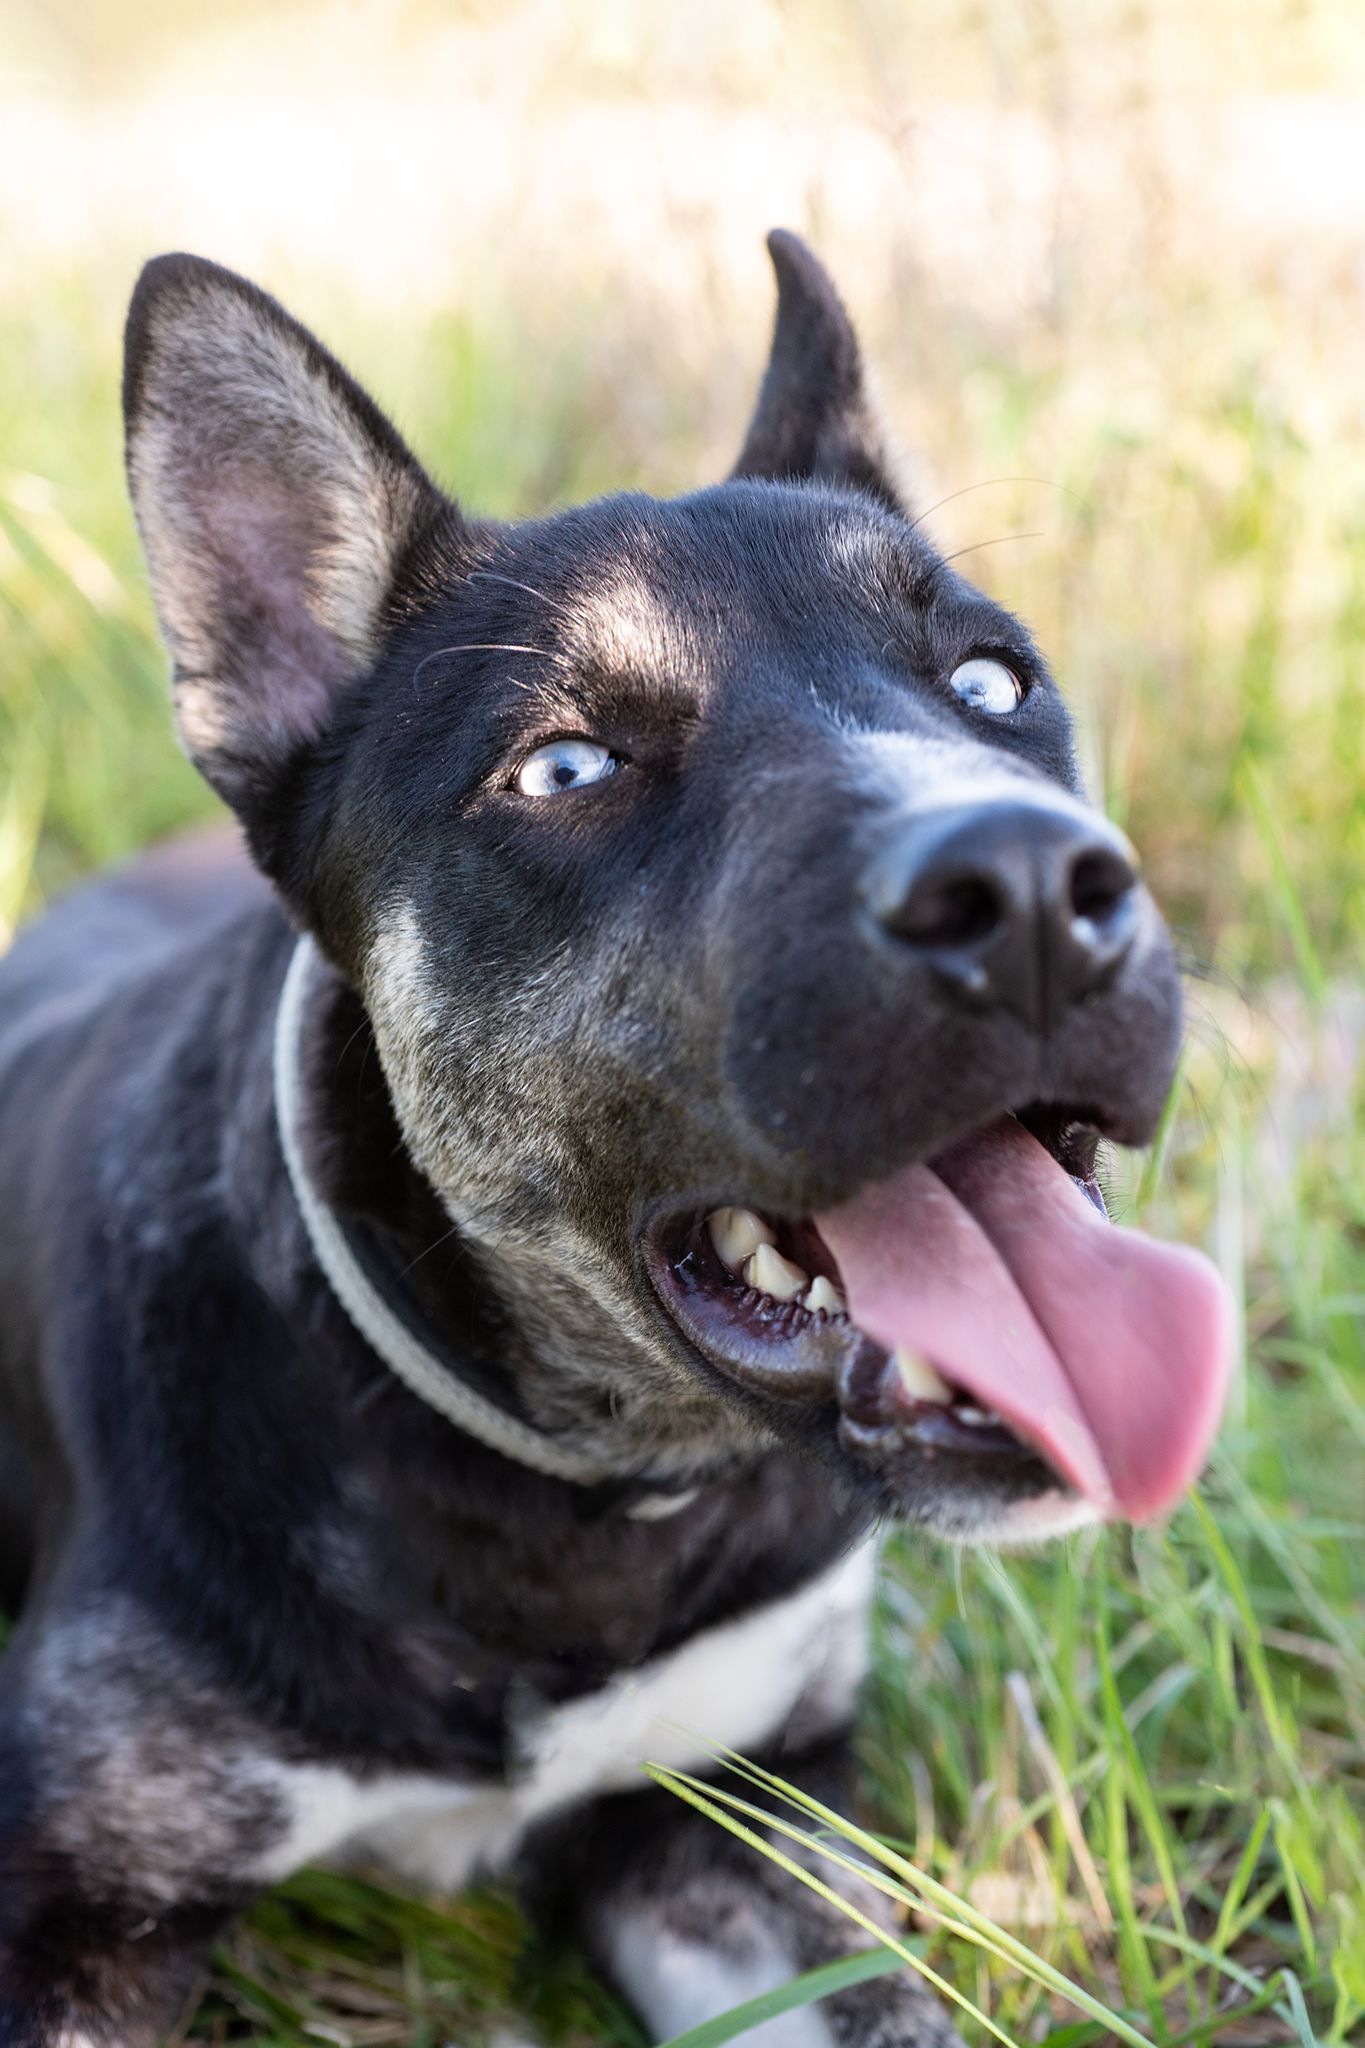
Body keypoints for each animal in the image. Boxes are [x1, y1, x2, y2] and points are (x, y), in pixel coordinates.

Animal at [0, 239, 1236, 2048]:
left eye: (991, 680)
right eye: (564, 764)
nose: (1025, 894)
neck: (568, 1494)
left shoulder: (740, 1832)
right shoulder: (78, 1912)